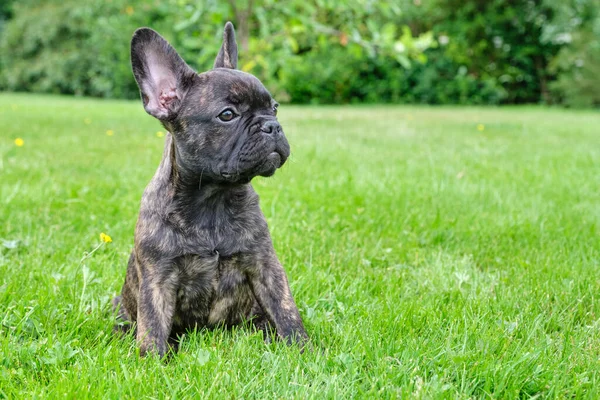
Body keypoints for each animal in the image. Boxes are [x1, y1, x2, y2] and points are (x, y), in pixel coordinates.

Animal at [113, 21, 310, 356]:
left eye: (275, 108)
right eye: (227, 115)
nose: (272, 126)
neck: (214, 198)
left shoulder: (265, 265)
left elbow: (285, 309)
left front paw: (304, 349)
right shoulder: (157, 279)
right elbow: (152, 325)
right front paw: (154, 361)